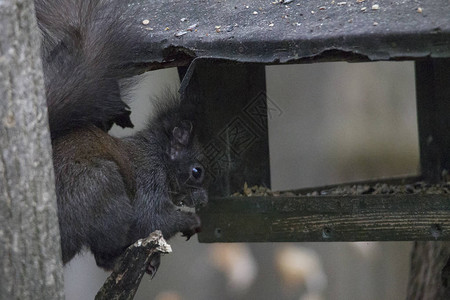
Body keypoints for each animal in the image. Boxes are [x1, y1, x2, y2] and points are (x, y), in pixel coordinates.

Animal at [34, 0, 207, 274]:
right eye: (197, 171)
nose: (205, 200)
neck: (157, 155)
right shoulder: (149, 183)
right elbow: (152, 219)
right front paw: (191, 220)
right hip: (102, 191)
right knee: (105, 252)